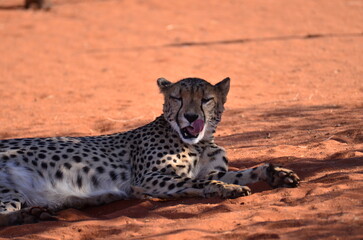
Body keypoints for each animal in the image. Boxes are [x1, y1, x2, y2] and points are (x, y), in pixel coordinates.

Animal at [0, 78, 300, 226]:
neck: (199, 142)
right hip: (8, 189)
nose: (191, 117)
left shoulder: (211, 169)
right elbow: (197, 182)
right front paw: (225, 190)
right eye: (177, 98)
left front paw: (276, 173)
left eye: (206, 99)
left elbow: (242, 172)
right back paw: (28, 217)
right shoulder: (145, 179)